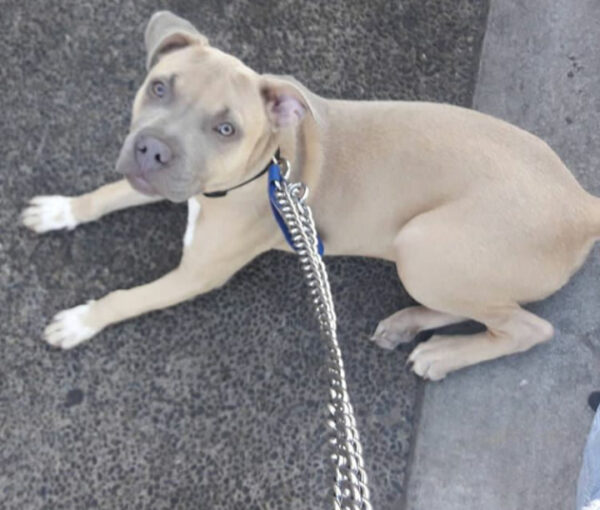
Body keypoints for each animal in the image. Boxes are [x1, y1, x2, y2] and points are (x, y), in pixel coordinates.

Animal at [21, 11, 600, 380]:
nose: (152, 151)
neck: (261, 168)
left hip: (424, 245)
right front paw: (61, 209)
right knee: (492, 309)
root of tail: (582, 203)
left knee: (527, 326)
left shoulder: (197, 274)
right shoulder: (169, 184)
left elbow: (126, 297)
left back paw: (443, 355)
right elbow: (108, 192)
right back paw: (409, 323)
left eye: (226, 129)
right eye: (159, 86)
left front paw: (81, 321)